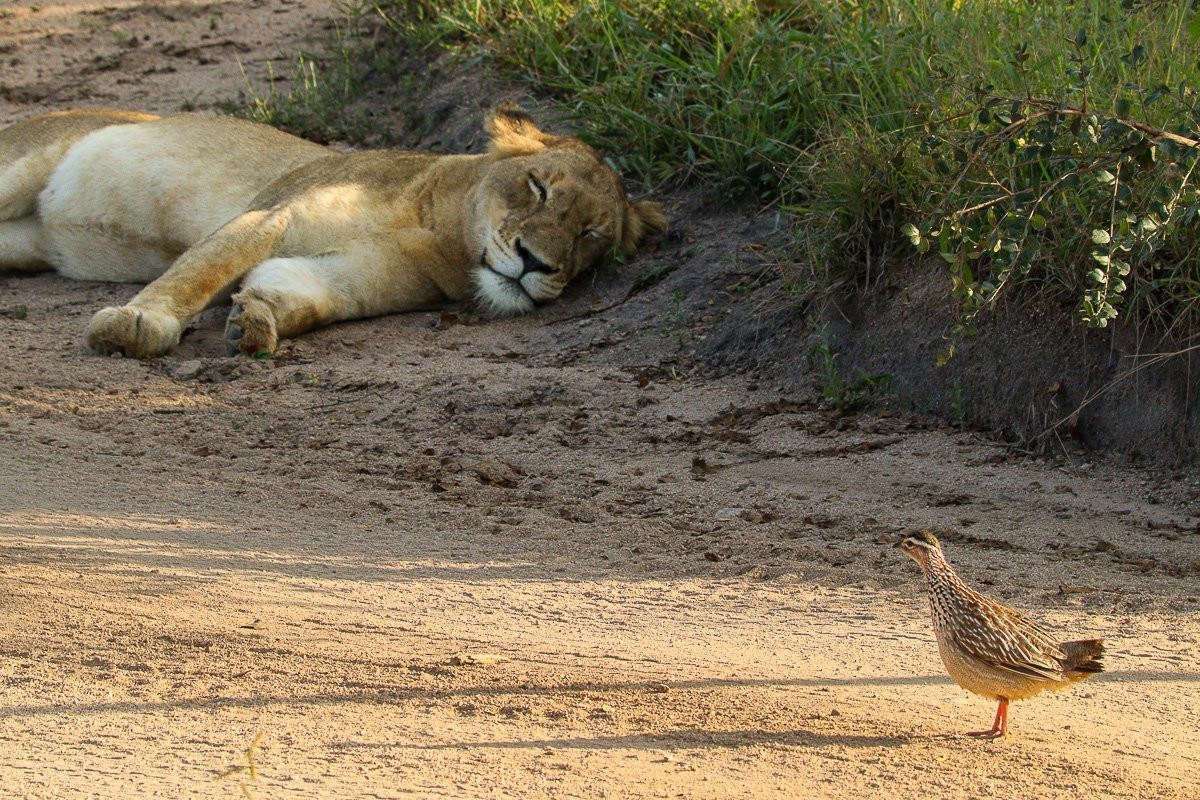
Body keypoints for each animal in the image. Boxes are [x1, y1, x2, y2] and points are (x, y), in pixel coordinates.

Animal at [0, 105, 665, 357]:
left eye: (592, 236)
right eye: (537, 187)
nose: (536, 263)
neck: (441, 236)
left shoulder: (346, 277)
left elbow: (302, 297)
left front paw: (254, 320)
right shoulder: (273, 214)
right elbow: (199, 270)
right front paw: (137, 325)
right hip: (21, 165)